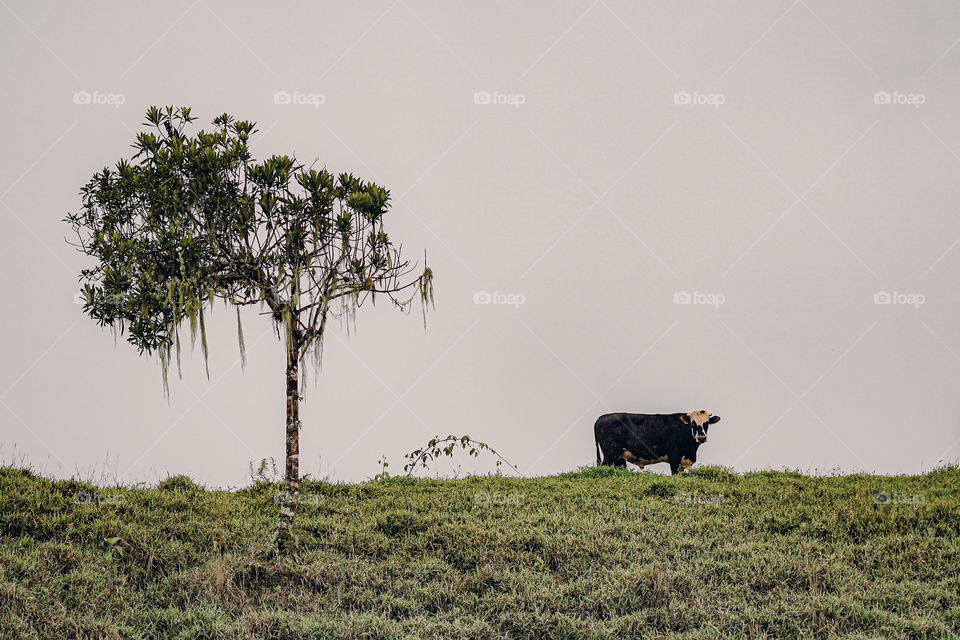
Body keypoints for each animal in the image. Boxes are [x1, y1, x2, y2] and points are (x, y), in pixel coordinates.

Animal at [592, 412, 720, 472]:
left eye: (706, 423)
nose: (702, 437)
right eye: (693, 423)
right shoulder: (675, 459)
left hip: (619, 458)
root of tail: (601, 418)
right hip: (610, 455)